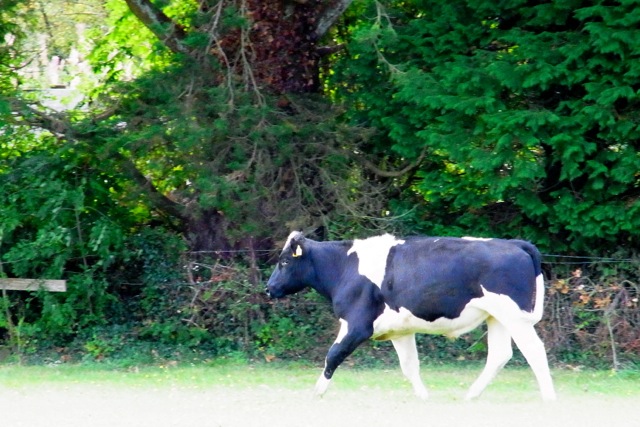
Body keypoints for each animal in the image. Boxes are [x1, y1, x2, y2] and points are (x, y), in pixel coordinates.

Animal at [266, 231, 557, 401]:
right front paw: (423, 397)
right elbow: (409, 365)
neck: (345, 266)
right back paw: (471, 395)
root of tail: (514, 243)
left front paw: (317, 391)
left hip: (514, 316)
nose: (268, 287)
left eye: (284, 261)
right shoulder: (399, 330)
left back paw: (549, 397)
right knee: (499, 355)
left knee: (534, 350)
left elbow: (333, 354)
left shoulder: (356, 323)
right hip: (496, 317)